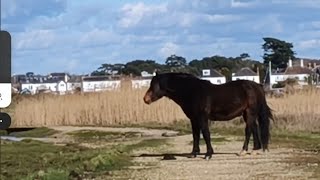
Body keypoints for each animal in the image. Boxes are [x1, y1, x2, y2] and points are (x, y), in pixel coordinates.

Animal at [144, 72, 274, 160]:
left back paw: (243, 151)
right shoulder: (194, 119)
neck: (192, 91)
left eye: (153, 84)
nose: (145, 99)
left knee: (248, 130)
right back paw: (255, 150)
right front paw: (194, 153)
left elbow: (206, 134)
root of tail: (257, 86)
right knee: (254, 128)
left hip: (250, 112)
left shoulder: (202, 117)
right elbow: (195, 135)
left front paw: (208, 154)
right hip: (247, 113)